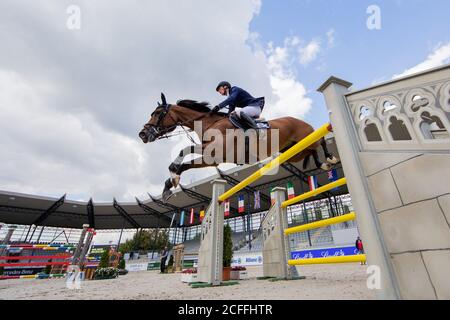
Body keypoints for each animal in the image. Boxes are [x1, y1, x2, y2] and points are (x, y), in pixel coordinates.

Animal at [138, 93, 338, 202]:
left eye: (157, 113)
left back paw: (330, 158)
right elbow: (185, 158)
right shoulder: (210, 157)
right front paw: (168, 186)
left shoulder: (215, 152)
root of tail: (301, 121)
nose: (142, 134)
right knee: (312, 151)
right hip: (295, 151)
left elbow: (185, 153)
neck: (210, 123)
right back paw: (322, 163)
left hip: (307, 137)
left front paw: (173, 175)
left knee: (320, 140)